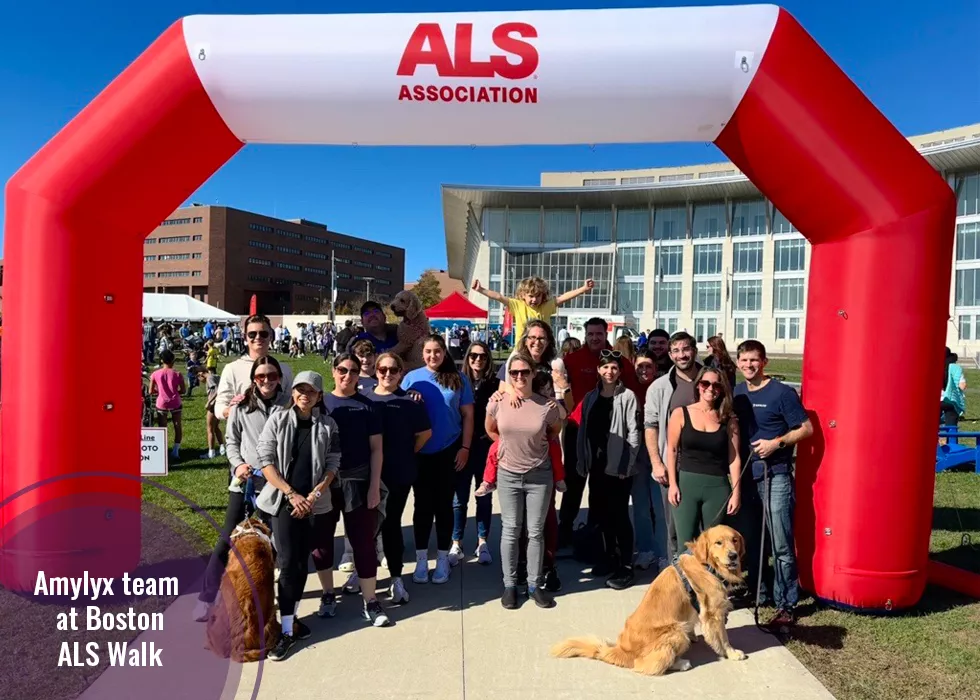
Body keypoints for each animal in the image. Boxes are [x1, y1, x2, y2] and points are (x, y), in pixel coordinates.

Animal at [548, 524, 748, 676]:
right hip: (676, 630)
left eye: (735, 540)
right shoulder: (714, 613)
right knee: (645, 666)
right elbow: (723, 638)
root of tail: (622, 650)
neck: (706, 564)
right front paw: (731, 653)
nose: (733, 555)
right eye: (718, 543)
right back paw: (681, 663)